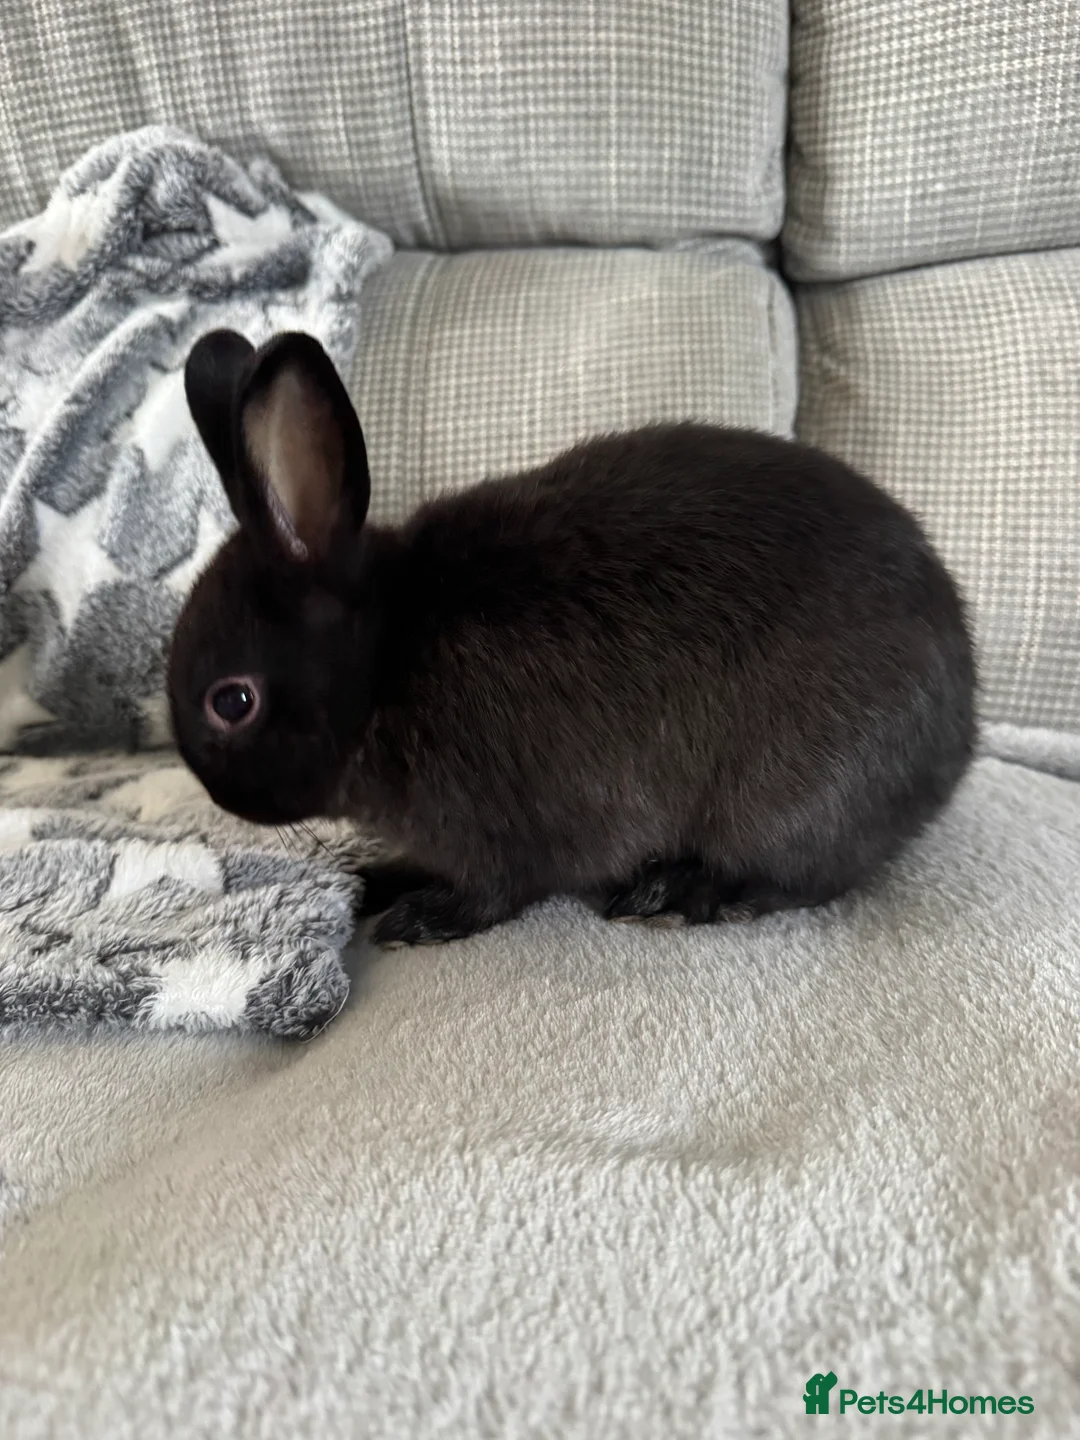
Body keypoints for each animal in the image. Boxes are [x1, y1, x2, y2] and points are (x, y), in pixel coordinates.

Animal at [168, 329, 976, 947]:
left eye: (232, 702)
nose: (221, 797)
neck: (384, 662)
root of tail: (959, 731)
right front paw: (376, 878)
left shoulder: (504, 829)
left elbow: (497, 891)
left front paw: (418, 921)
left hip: (788, 802)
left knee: (798, 878)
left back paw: (677, 896)